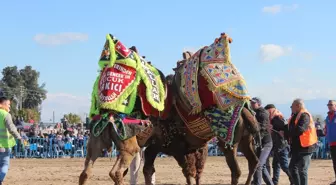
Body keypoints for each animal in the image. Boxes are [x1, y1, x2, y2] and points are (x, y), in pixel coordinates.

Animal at [143, 33, 262, 185]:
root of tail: (246, 113)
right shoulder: (189, 147)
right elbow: (195, 172)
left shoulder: (175, 146)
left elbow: (188, 172)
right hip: (245, 140)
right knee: (253, 162)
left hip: (229, 143)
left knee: (237, 170)